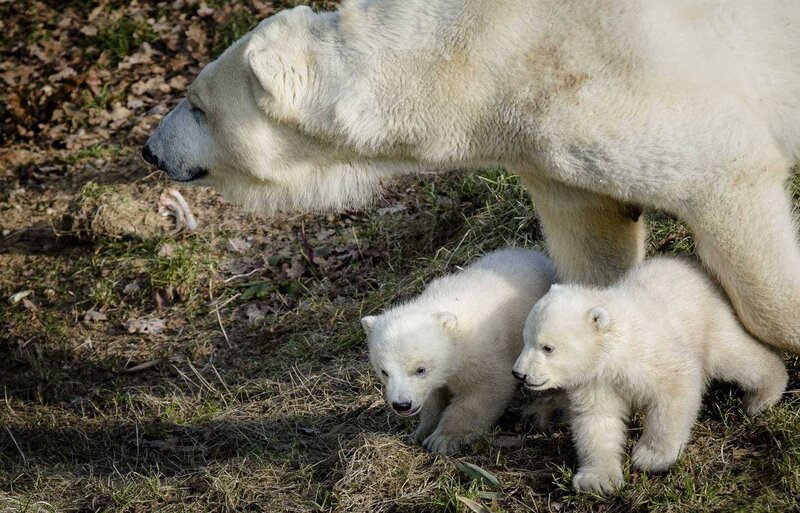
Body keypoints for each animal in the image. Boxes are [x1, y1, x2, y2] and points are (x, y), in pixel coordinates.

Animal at [143, 0, 800, 355]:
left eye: (196, 106)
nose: (151, 150)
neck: (479, 59)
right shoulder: (546, 142)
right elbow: (595, 238)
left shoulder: (611, 78)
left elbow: (721, 171)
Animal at [362, 248, 556, 454]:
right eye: (384, 371)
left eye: (420, 369)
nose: (402, 405)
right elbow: (434, 395)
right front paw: (421, 431)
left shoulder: (479, 353)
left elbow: (483, 390)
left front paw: (442, 439)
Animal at [512, 256, 788, 494]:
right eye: (524, 339)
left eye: (547, 347)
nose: (519, 374)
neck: (616, 347)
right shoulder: (595, 381)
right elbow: (597, 421)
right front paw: (597, 480)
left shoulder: (649, 354)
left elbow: (676, 387)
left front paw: (652, 457)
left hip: (708, 319)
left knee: (734, 356)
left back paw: (764, 394)